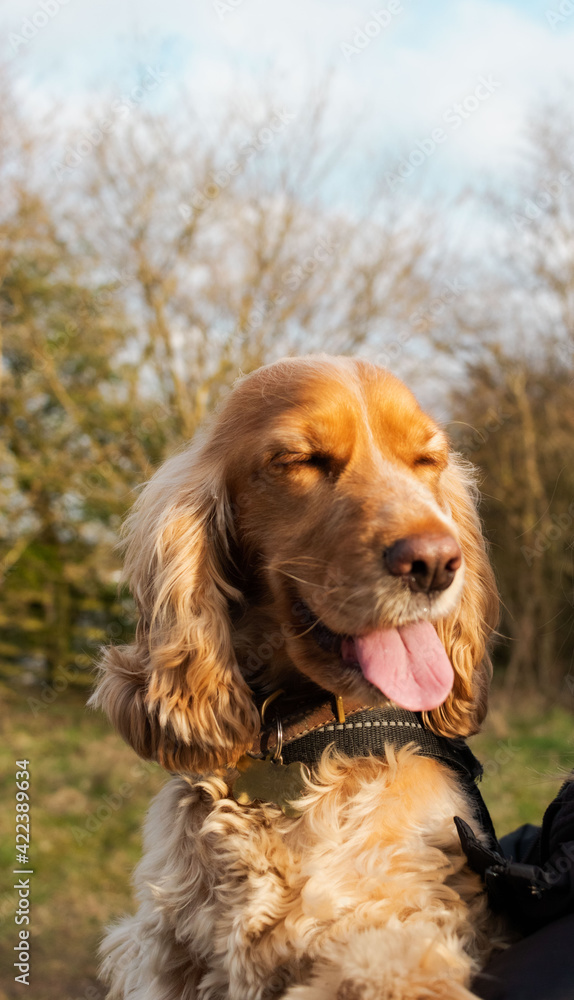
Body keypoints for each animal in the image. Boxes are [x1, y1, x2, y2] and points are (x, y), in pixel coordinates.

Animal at [91, 356, 508, 996]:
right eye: (301, 461)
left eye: (426, 461)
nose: (436, 562)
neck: (301, 741)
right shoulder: (161, 952)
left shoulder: (404, 923)